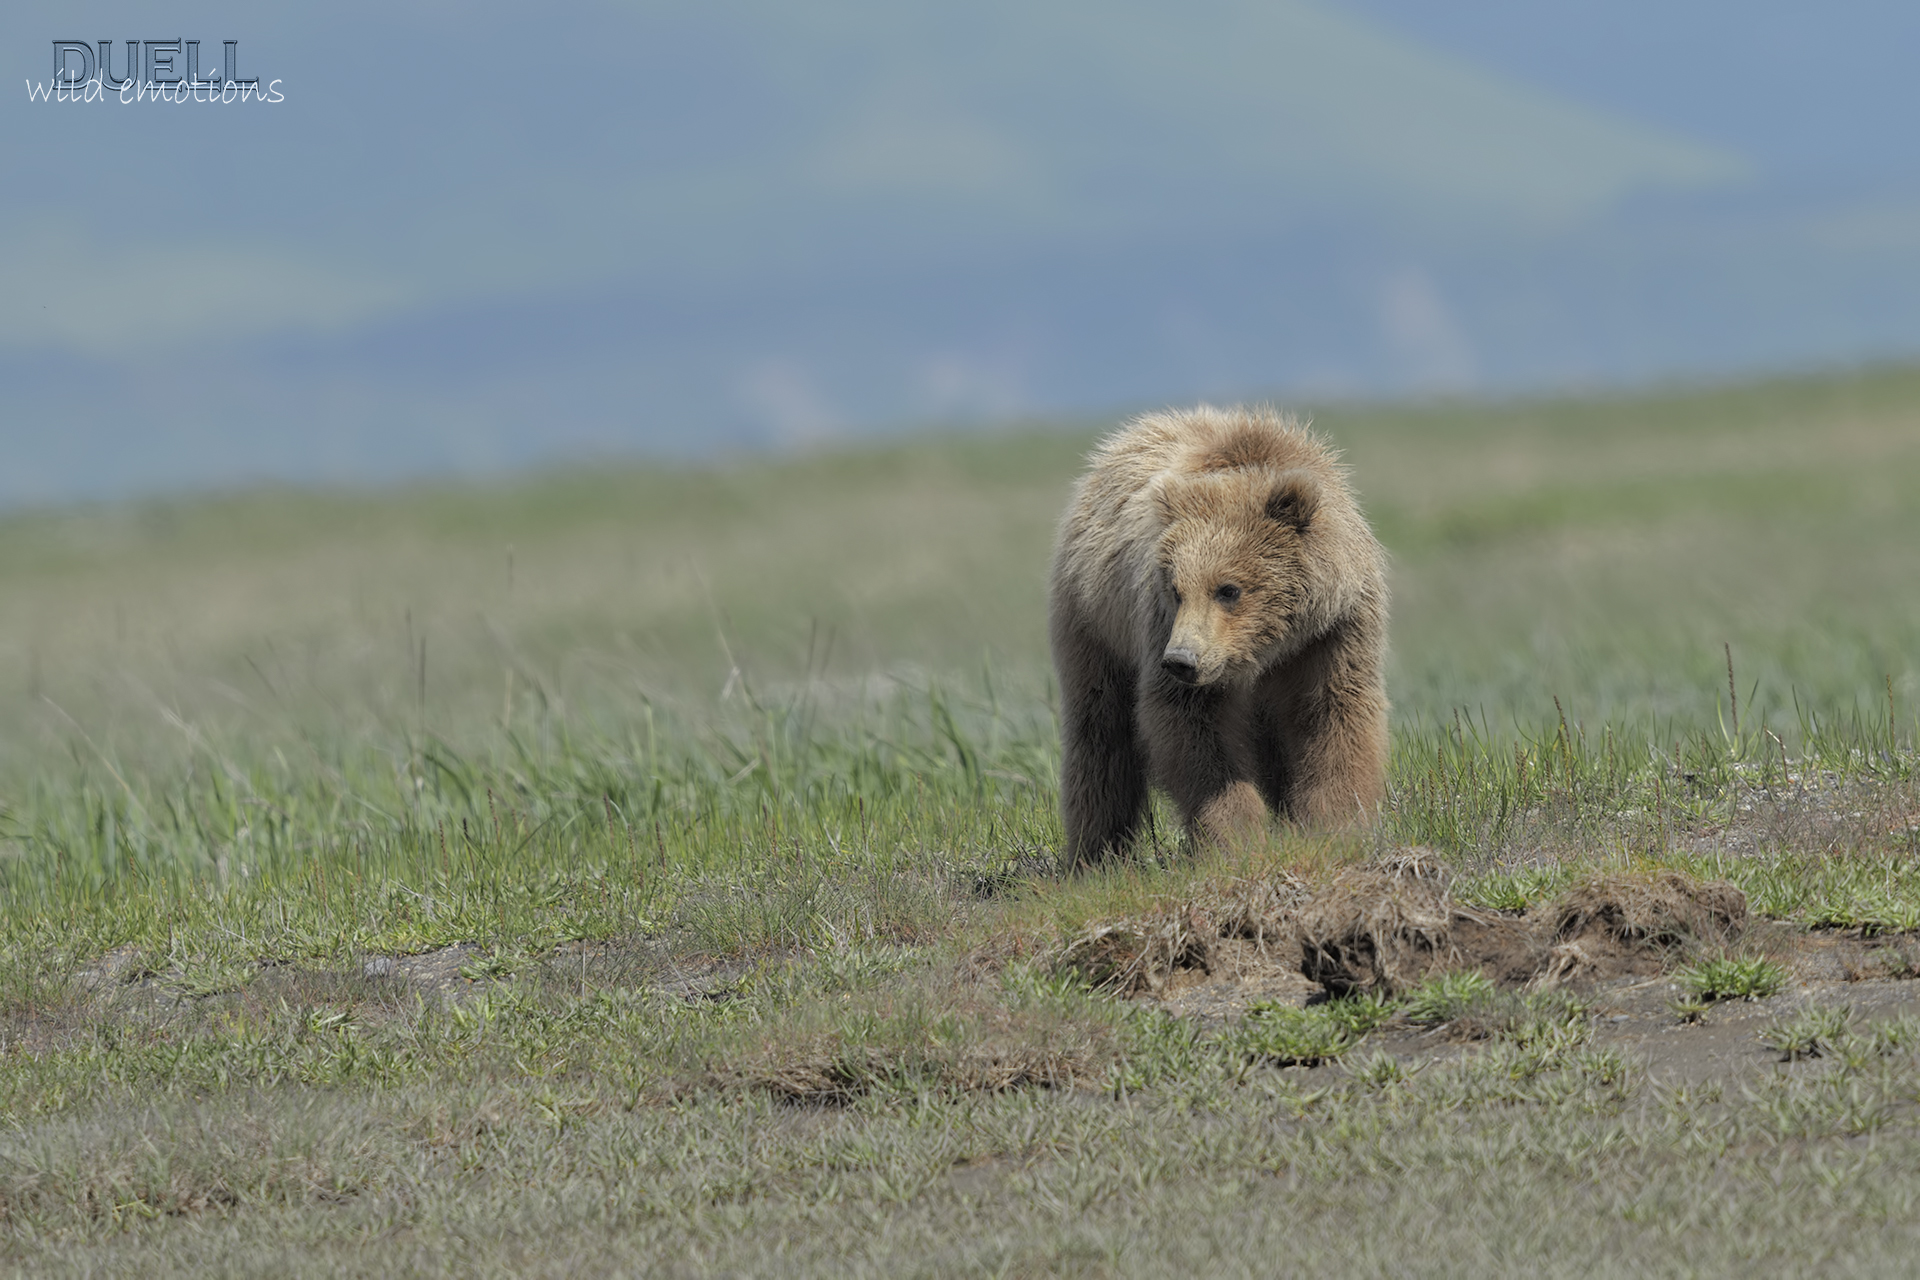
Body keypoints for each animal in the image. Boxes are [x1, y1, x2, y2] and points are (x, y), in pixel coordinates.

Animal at [1048, 404, 1389, 868]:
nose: (1181, 660)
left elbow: (1333, 714)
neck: (1268, 647)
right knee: (1101, 731)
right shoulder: (1162, 626)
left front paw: (1332, 828)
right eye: (1176, 589)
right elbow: (1193, 729)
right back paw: (1096, 853)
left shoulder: (1331, 632)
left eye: (1229, 589)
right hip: (1095, 624)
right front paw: (1238, 839)